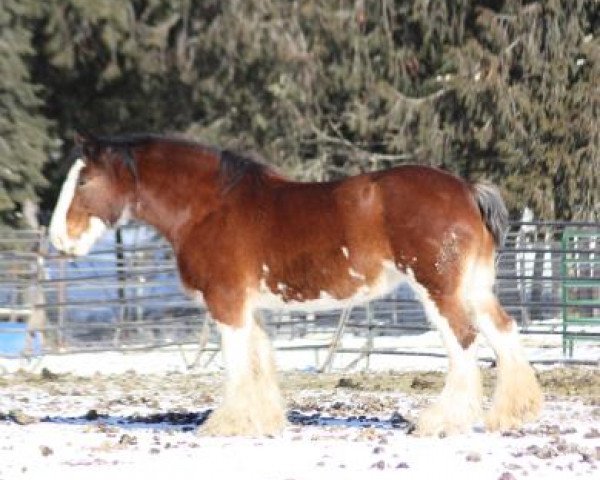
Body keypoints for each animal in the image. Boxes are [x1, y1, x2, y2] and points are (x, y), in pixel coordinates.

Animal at [49, 133, 540, 436]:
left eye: (85, 179)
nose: (58, 239)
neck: (210, 208)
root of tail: (466, 190)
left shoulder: (227, 304)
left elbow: (236, 365)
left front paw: (225, 424)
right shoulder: (250, 307)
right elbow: (260, 360)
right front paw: (263, 421)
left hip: (438, 289)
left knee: (463, 341)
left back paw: (439, 422)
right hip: (473, 289)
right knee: (504, 333)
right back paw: (510, 415)